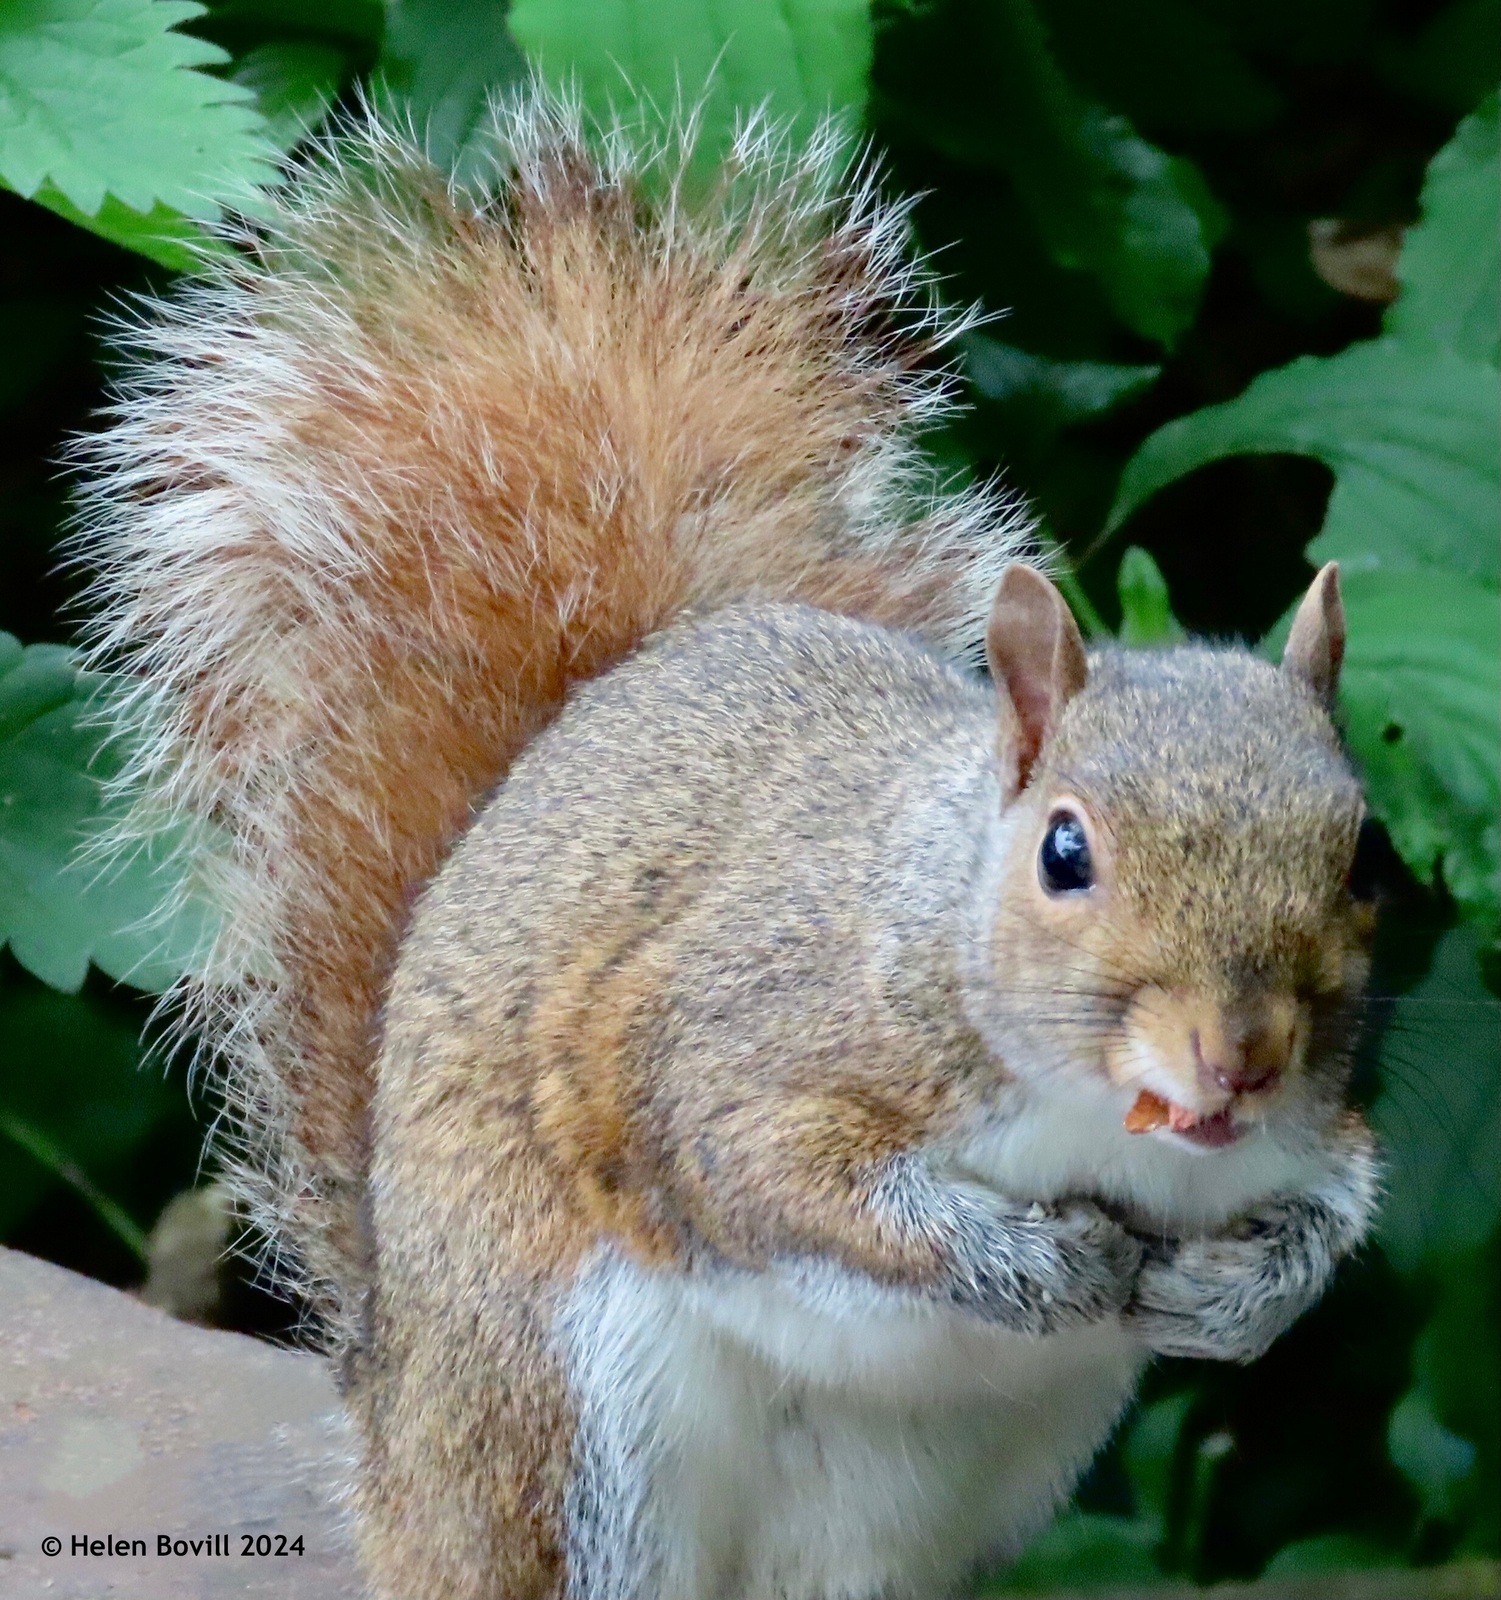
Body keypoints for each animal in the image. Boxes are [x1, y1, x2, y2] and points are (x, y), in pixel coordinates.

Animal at [76, 90, 1376, 1600]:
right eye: (1066, 854)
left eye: (1363, 858)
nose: (1239, 1058)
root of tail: (397, 1439)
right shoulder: (736, 1050)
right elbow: (774, 1178)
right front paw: (1027, 1263)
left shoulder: (1312, 1134)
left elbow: (1334, 1206)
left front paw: (1240, 1292)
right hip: (572, 1426)